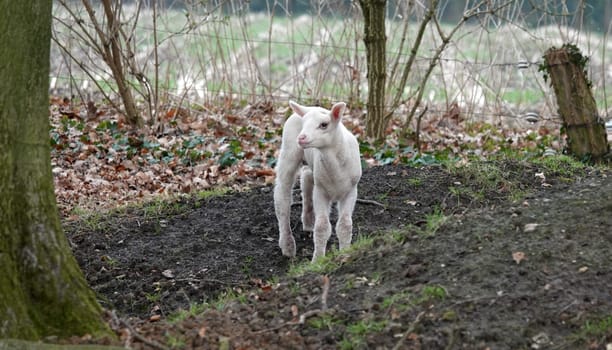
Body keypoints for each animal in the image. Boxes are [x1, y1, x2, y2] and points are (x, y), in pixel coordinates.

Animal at [274, 100, 360, 262]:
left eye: (324, 125)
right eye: (304, 123)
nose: (301, 137)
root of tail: (307, 106)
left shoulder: (351, 190)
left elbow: (345, 225)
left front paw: (345, 253)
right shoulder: (321, 191)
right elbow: (322, 227)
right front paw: (318, 260)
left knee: (307, 178)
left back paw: (308, 221)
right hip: (289, 151)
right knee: (282, 196)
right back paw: (287, 244)